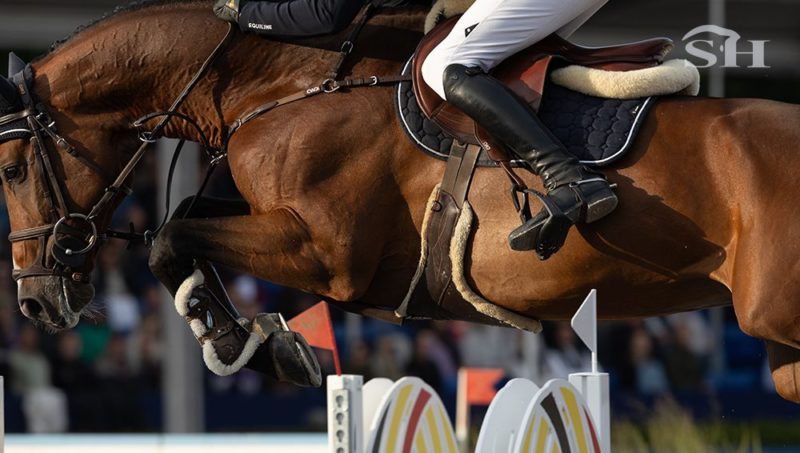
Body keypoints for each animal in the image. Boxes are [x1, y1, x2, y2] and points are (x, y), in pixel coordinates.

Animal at [2, 0, 800, 401]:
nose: (35, 305)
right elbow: (184, 229)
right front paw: (258, 341)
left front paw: (249, 346)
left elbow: (170, 236)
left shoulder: (323, 252)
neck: (285, 83)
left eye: (9, 168)